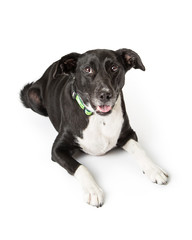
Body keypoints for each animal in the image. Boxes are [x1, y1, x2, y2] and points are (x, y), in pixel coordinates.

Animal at [20, 48, 169, 206]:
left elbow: (139, 149)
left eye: (114, 68)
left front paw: (154, 169)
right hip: (31, 96)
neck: (98, 118)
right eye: (87, 69)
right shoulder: (57, 150)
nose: (105, 95)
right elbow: (80, 167)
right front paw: (93, 190)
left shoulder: (128, 133)